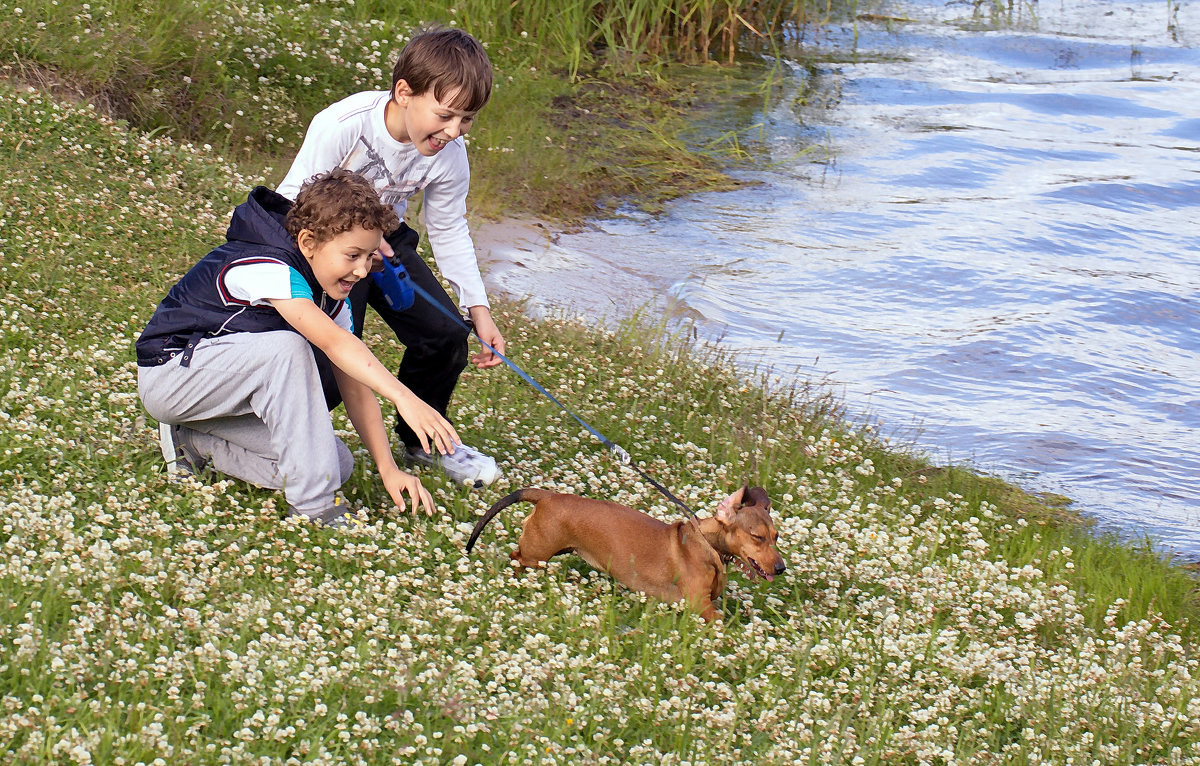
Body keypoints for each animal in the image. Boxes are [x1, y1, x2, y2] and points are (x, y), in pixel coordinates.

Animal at [463, 489, 782, 619]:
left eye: (776, 536)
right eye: (757, 537)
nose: (781, 569)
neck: (707, 544)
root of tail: (548, 495)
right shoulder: (700, 605)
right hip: (535, 555)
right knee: (515, 559)